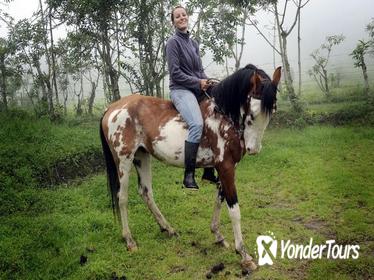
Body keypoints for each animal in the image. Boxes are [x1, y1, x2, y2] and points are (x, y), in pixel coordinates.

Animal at [99, 64, 280, 272]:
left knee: (146, 192)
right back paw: (129, 240)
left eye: (272, 111)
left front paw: (218, 236)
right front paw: (243, 255)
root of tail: (112, 108)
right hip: (124, 160)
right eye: (252, 114)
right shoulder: (226, 167)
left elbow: (219, 199)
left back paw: (168, 229)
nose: (253, 149)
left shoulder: (225, 168)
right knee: (122, 197)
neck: (223, 115)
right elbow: (234, 209)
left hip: (142, 156)